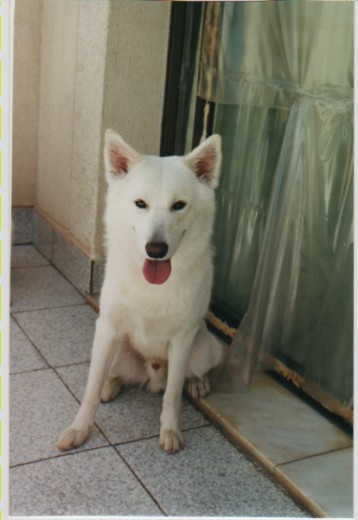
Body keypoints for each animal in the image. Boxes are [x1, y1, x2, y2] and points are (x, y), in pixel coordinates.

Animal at [57, 129, 222, 450]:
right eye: (140, 204)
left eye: (178, 205)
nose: (155, 249)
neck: (152, 286)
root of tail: (152, 373)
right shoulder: (107, 327)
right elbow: (90, 388)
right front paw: (79, 428)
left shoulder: (182, 340)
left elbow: (173, 394)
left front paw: (170, 430)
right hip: (114, 346)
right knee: (111, 374)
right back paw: (110, 385)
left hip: (205, 348)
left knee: (188, 375)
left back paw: (198, 383)